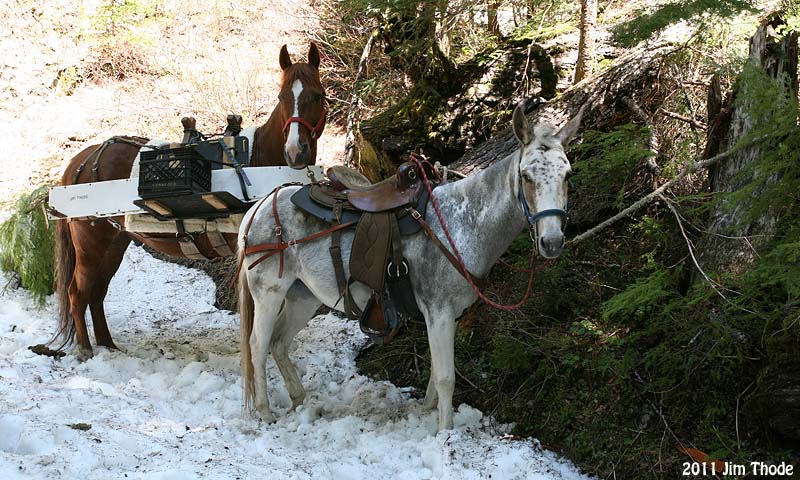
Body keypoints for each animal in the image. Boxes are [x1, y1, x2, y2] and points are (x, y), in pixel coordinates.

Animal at [52, 42, 324, 360]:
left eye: (317, 95)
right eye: (282, 97)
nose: (295, 151)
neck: (261, 161)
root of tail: (78, 163)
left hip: (115, 243)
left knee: (96, 293)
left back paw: (108, 345)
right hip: (91, 245)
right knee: (78, 292)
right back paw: (86, 349)